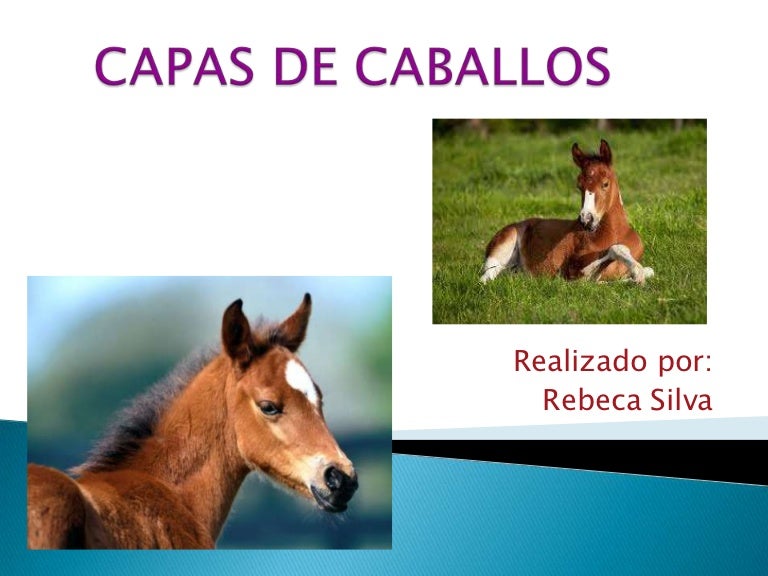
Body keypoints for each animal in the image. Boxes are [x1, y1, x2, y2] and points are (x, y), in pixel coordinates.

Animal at [480, 139, 654, 284]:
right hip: (502, 247)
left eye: (605, 183)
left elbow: (649, 270)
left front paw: (637, 276)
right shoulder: (572, 271)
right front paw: (637, 273)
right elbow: (613, 251)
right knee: (486, 277)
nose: (586, 219)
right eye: (579, 186)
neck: (615, 233)